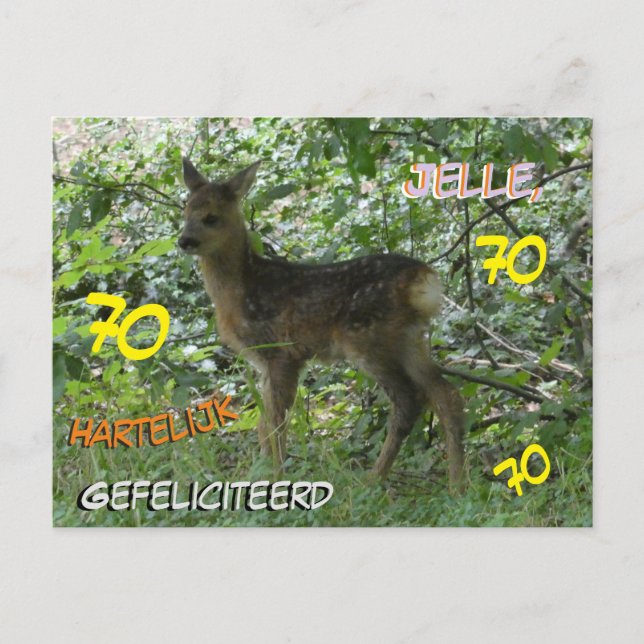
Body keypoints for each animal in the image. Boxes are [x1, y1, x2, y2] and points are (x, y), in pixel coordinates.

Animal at [178, 158, 466, 490]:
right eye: (185, 212)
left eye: (211, 217)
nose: (184, 241)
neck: (242, 289)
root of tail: (423, 279)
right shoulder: (266, 362)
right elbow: (264, 423)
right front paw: (261, 475)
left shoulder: (281, 351)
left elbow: (274, 422)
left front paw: (274, 478)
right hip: (411, 338)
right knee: (446, 394)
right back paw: (457, 484)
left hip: (367, 338)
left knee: (409, 401)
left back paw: (373, 479)